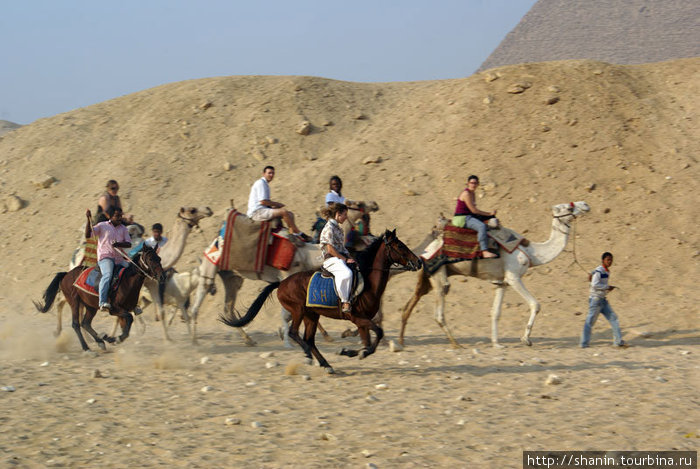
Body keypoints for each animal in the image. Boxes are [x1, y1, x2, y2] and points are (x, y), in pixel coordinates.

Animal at [35, 245, 167, 352]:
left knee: (85, 323)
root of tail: (66, 275)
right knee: (76, 324)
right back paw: (86, 347)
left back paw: (100, 341)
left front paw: (111, 338)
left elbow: (126, 327)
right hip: (74, 302)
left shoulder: (124, 310)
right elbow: (129, 319)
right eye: (150, 259)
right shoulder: (114, 309)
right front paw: (115, 338)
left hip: (90, 306)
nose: (162, 277)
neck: (127, 281)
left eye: (159, 259)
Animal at [220, 229, 422, 372]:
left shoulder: (361, 322)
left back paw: (325, 364)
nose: (419, 262)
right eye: (400, 246)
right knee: (295, 333)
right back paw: (309, 356)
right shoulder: (357, 318)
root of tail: (282, 283)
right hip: (299, 311)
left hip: (311, 316)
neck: (367, 282)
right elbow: (378, 333)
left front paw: (351, 352)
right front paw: (355, 352)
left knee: (309, 339)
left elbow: (368, 344)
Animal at [396, 201, 588, 348]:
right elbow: (536, 304)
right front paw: (526, 339)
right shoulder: (513, 277)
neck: (531, 252)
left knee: (410, 304)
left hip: (429, 276)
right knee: (439, 311)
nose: (585, 205)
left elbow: (495, 312)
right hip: (438, 275)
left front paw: (497, 343)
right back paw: (456, 344)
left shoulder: (502, 282)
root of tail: (426, 250)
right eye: (569, 207)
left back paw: (402, 342)